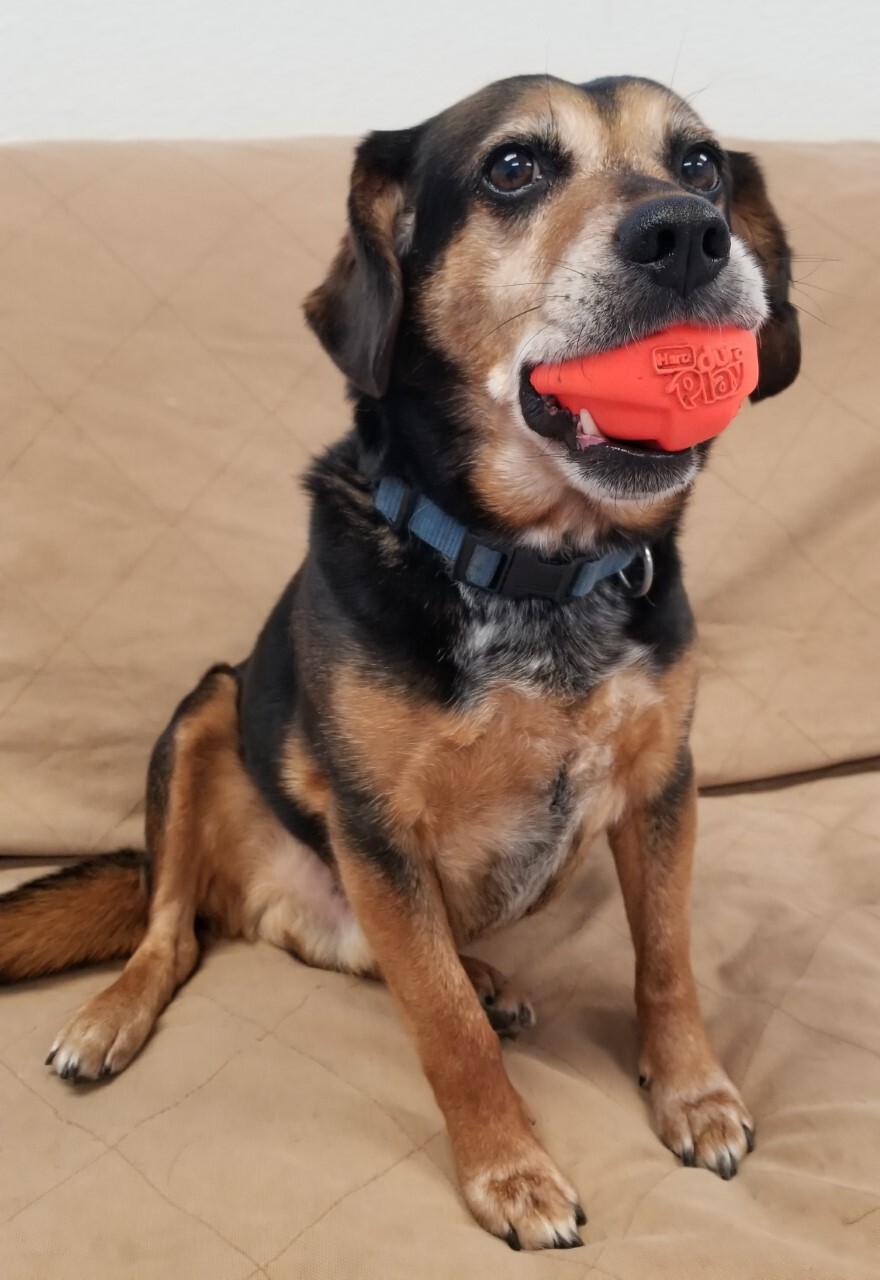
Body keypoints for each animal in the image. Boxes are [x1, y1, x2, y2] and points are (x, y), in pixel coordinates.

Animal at [0, 77, 798, 1249]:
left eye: (698, 162)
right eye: (512, 168)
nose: (689, 234)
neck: (536, 570)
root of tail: (255, 899)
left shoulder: (663, 786)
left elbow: (666, 959)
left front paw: (691, 1094)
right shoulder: (378, 829)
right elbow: (445, 1031)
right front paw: (509, 1172)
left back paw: (484, 972)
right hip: (205, 711)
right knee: (171, 930)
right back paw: (115, 1014)